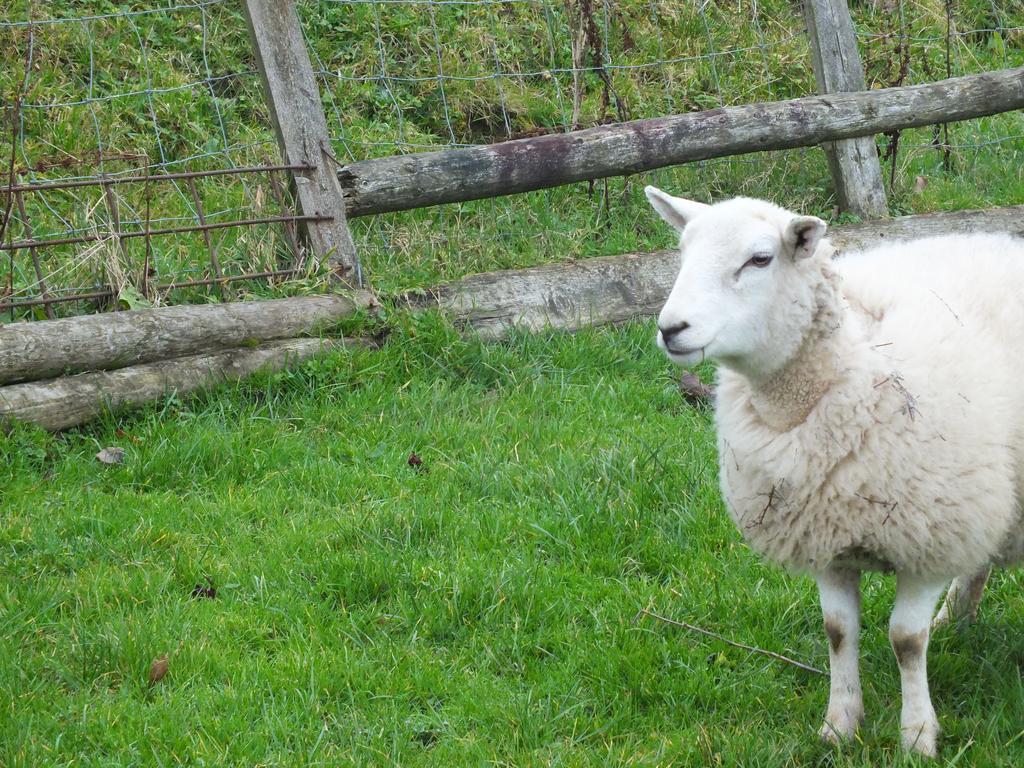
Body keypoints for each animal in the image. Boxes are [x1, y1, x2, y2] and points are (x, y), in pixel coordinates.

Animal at [647, 186, 1024, 757]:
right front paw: (840, 725)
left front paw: (917, 736)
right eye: (683, 253)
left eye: (760, 259)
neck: (847, 372)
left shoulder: (928, 538)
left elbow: (906, 640)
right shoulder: (825, 537)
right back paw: (957, 619)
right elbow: (838, 630)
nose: (671, 329)